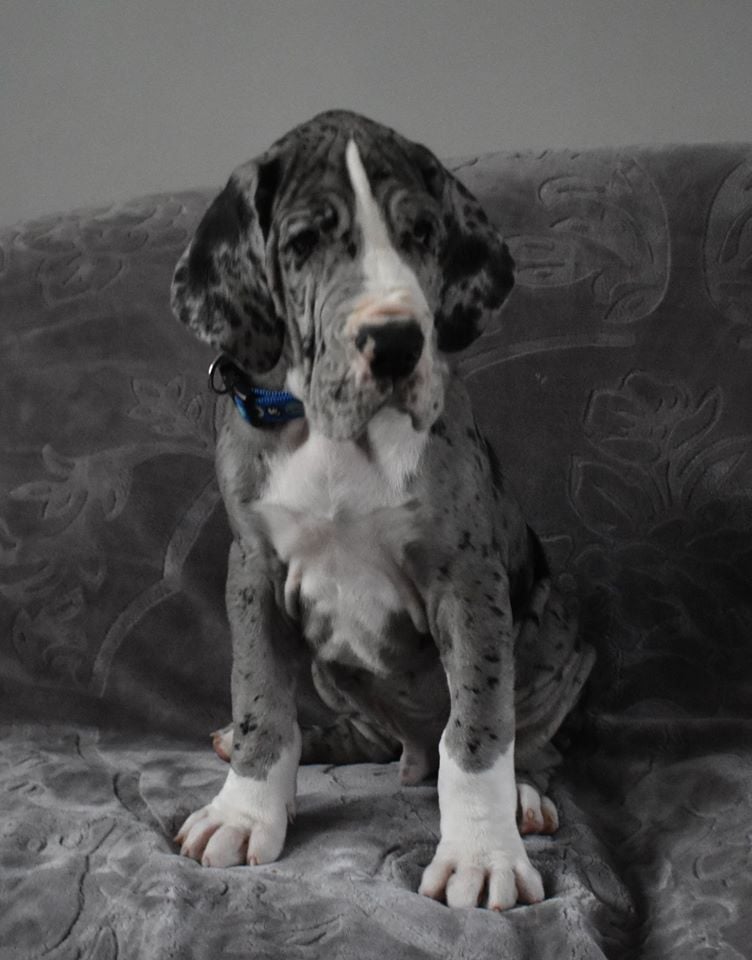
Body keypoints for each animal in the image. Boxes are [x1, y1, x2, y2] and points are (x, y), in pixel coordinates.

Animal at [170, 110, 594, 911]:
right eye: (304, 243)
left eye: (422, 235)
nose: (396, 342)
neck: (335, 434)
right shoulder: (253, 571)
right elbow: (260, 697)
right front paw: (245, 809)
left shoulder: (467, 579)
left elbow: (478, 728)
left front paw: (481, 856)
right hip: (337, 671)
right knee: (362, 732)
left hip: (561, 635)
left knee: (523, 738)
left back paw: (524, 795)